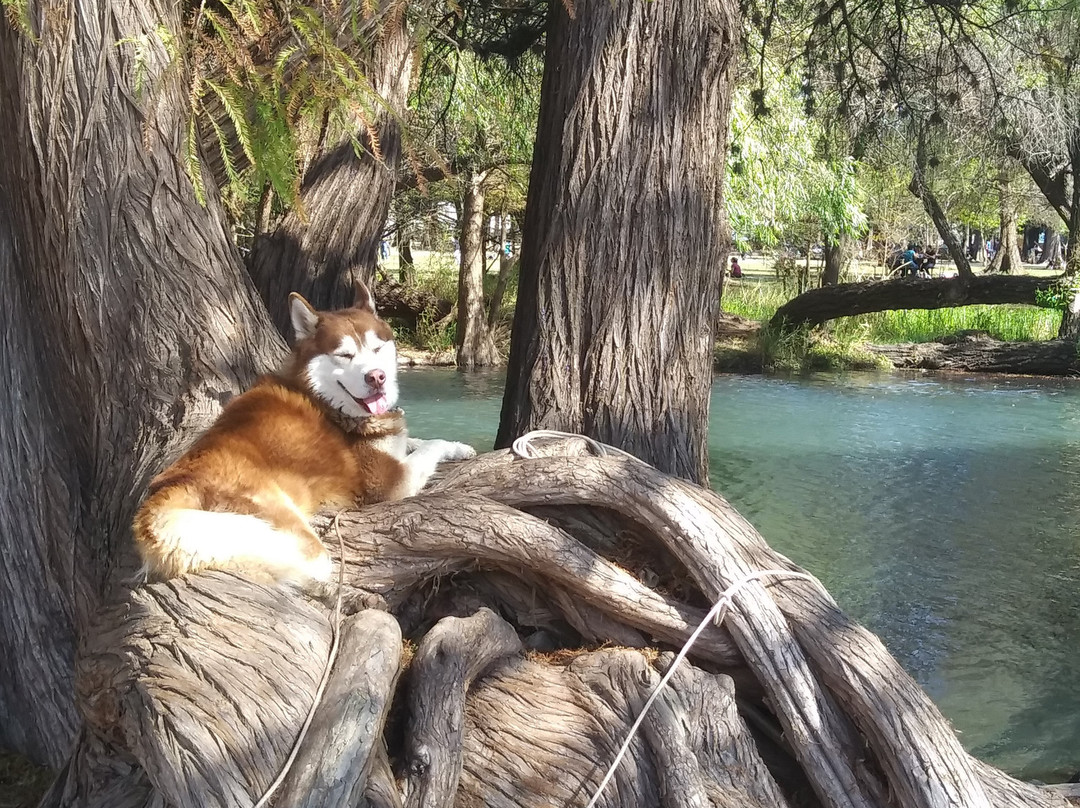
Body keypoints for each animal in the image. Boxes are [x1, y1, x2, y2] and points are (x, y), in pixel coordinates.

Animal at [131, 283, 477, 578]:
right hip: (278, 524)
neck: (326, 401)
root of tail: (173, 486)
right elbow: (429, 445)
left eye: (377, 348)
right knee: (308, 564)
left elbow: (418, 440)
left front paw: (459, 446)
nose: (376, 377)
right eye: (345, 355)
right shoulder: (389, 483)